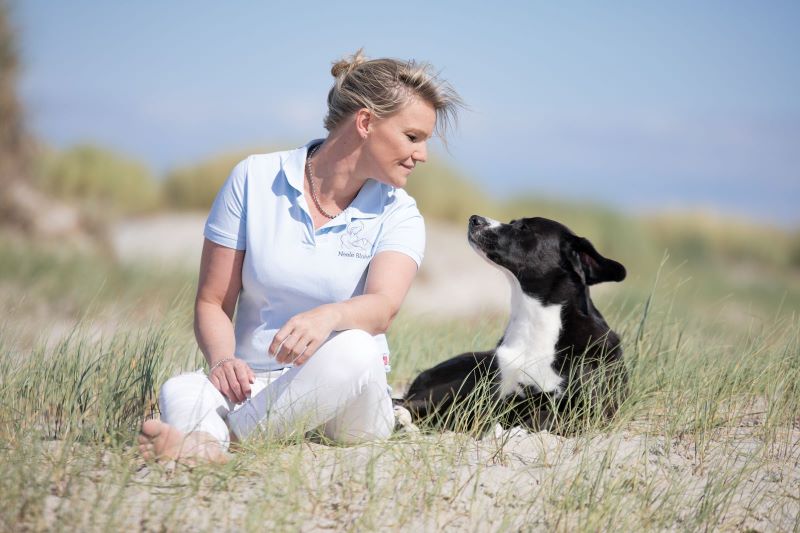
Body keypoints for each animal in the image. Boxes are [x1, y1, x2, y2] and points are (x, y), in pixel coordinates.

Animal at [404, 214, 628, 434]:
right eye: (512, 223)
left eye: (524, 229)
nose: (474, 219)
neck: (534, 323)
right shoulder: (491, 399)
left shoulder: (596, 411)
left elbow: (541, 419)